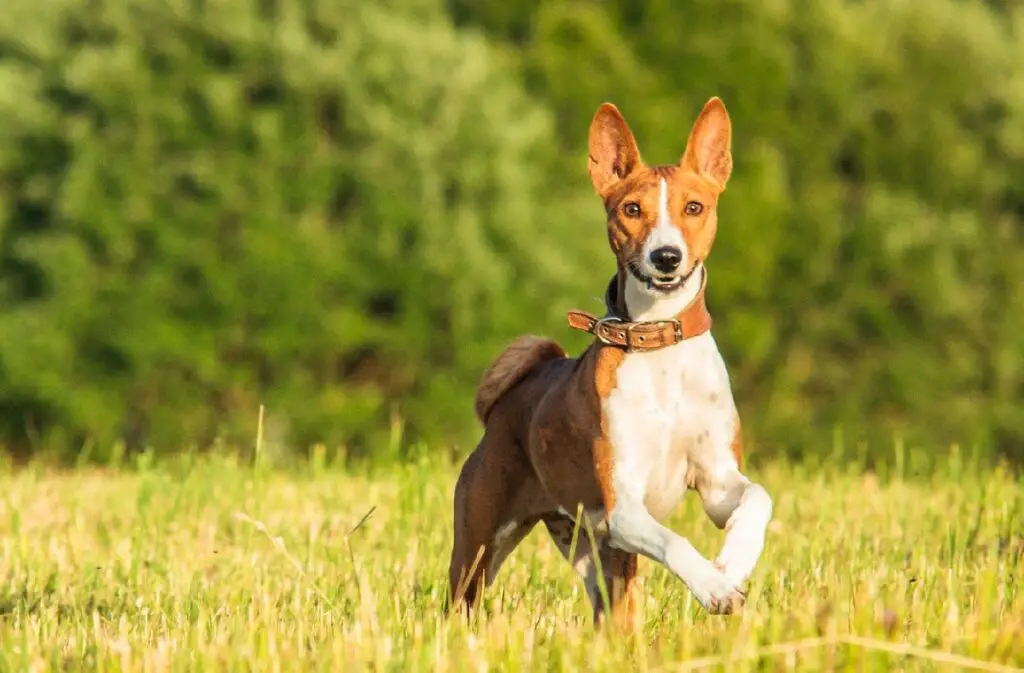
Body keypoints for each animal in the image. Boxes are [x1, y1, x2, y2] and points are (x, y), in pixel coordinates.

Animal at [444, 97, 770, 626]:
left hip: (593, 556)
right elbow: (676, 541)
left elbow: (758, 498)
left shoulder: (718, 482)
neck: (659, 347)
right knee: (459, 602)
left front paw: (733, 563)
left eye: (694, 207)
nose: (666, 256)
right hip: (480, 546)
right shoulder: (624, 507)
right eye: (631, 210)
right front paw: (713, 586)